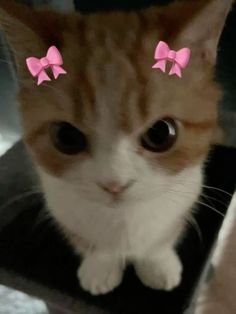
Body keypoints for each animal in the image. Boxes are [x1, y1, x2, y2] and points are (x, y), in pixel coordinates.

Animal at [0, 0, 232, 294]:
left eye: (161, 134)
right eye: (66, 137)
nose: (114, 184)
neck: (123, 221)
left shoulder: (187, 194)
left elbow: (161, 240)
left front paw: (158, 264)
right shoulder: (61, 206)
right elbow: (90, 243)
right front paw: (100, 267)